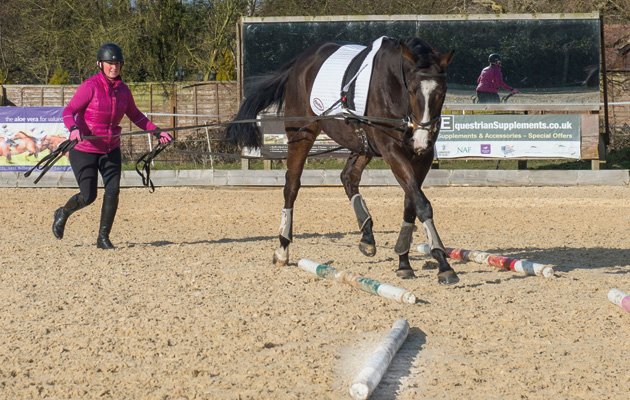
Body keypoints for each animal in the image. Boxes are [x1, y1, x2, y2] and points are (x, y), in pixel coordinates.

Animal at [227, 36, 460, 282]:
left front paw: (404, 261)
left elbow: (411, 202)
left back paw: (367, 236)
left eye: (442, 92)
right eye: (414, 90)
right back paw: (283, 249)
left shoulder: (422, 157)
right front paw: (443, 263)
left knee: (349, 177)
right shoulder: (392, 152)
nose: (421, 140)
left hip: (362, 143)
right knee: (292, 186)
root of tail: (301, 62)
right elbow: (421, 204)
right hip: (302, 134)